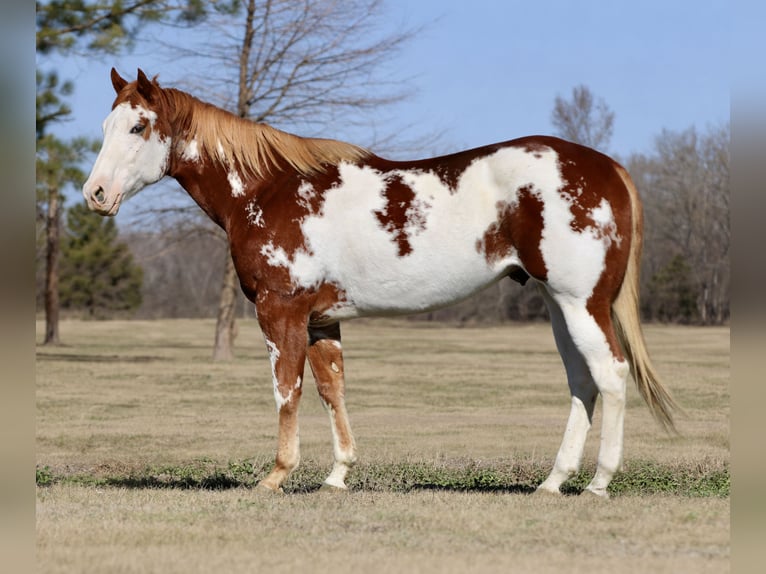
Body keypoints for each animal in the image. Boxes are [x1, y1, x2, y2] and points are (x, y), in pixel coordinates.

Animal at [83, 69, 677, 498]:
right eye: (106, 127)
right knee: (582, 382)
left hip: (581, 303)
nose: (95, 194)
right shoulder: (321, 321)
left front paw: (276, 475)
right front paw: (337, 476)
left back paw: (599, 483)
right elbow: (332, 390)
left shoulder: (281, 311)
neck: (266, 189)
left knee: (611, 375)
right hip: (560, 306)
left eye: (138, 127)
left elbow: (287, 391)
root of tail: (607, 168)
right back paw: (553, 483)